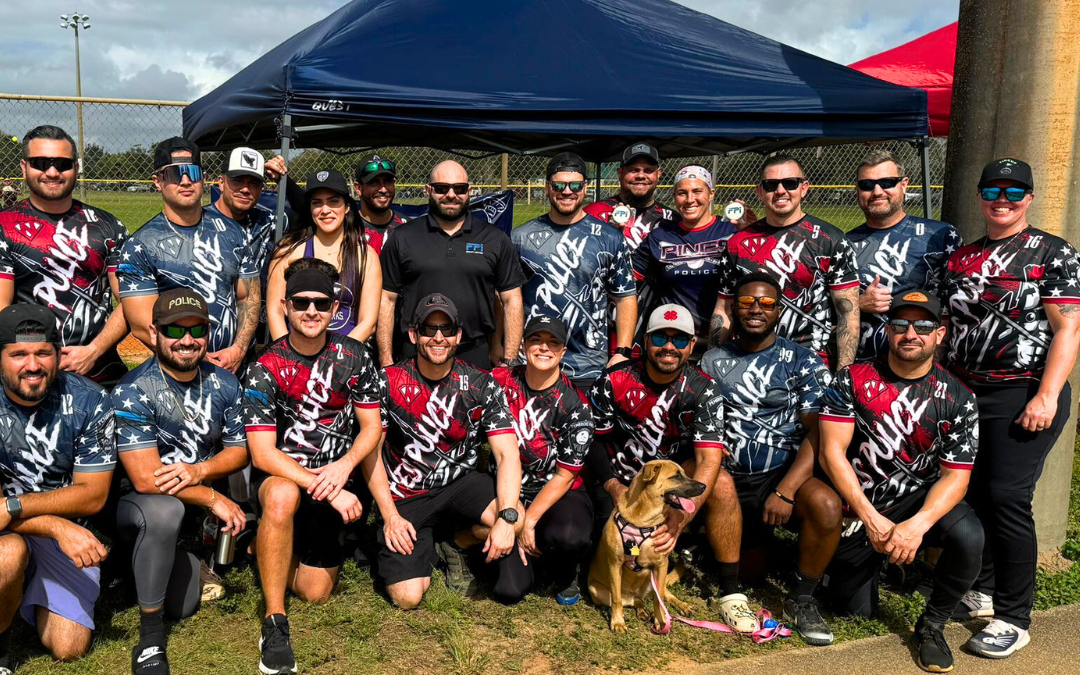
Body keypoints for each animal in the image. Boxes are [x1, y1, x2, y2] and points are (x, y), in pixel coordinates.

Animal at [591, 457, 708, 630]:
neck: (643, 520)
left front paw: (661, 621)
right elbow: (616, 599)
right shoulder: (614, 563)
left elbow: (659, 600)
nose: (704, 486)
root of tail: (635, 593)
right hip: (597, 592)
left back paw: (682, 606)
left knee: (664, 593)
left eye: (684, 474)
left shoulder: (661, 564)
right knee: (634, 601)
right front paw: (618, 621)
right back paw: (642, 611)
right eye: (676, 476)